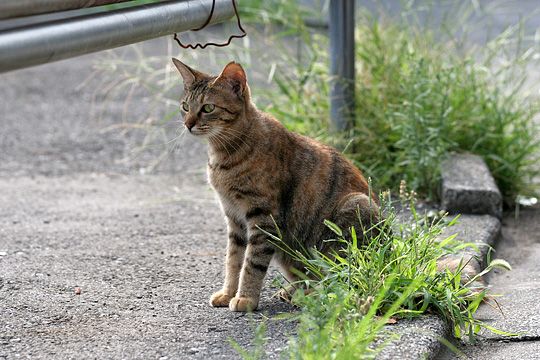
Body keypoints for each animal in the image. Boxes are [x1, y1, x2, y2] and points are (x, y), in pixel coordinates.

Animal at [173, 59, 380, 312]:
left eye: (208, 108)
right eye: (185, 106)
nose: (188, 124)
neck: (224, 155)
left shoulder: (263, 217)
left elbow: (252, 263)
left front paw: (245, 298)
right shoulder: (234, 218)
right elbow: (233, 260)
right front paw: (228, 292)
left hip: (355, 208)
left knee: (341, 280)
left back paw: (308, 295)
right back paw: (293, 292)